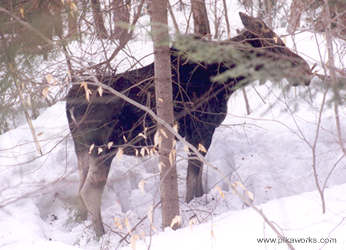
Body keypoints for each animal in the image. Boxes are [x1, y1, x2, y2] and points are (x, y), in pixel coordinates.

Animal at [66, 12, 312, 237]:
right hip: (103, 149)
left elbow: (197, 175)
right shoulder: (202, 130)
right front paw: (193, 205)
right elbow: (193, 177)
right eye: (275, 44)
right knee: (89, 191)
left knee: (79, 188)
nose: (307, 69)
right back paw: (101, 234)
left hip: (83, 151)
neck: (228, 81)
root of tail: (68, 103)